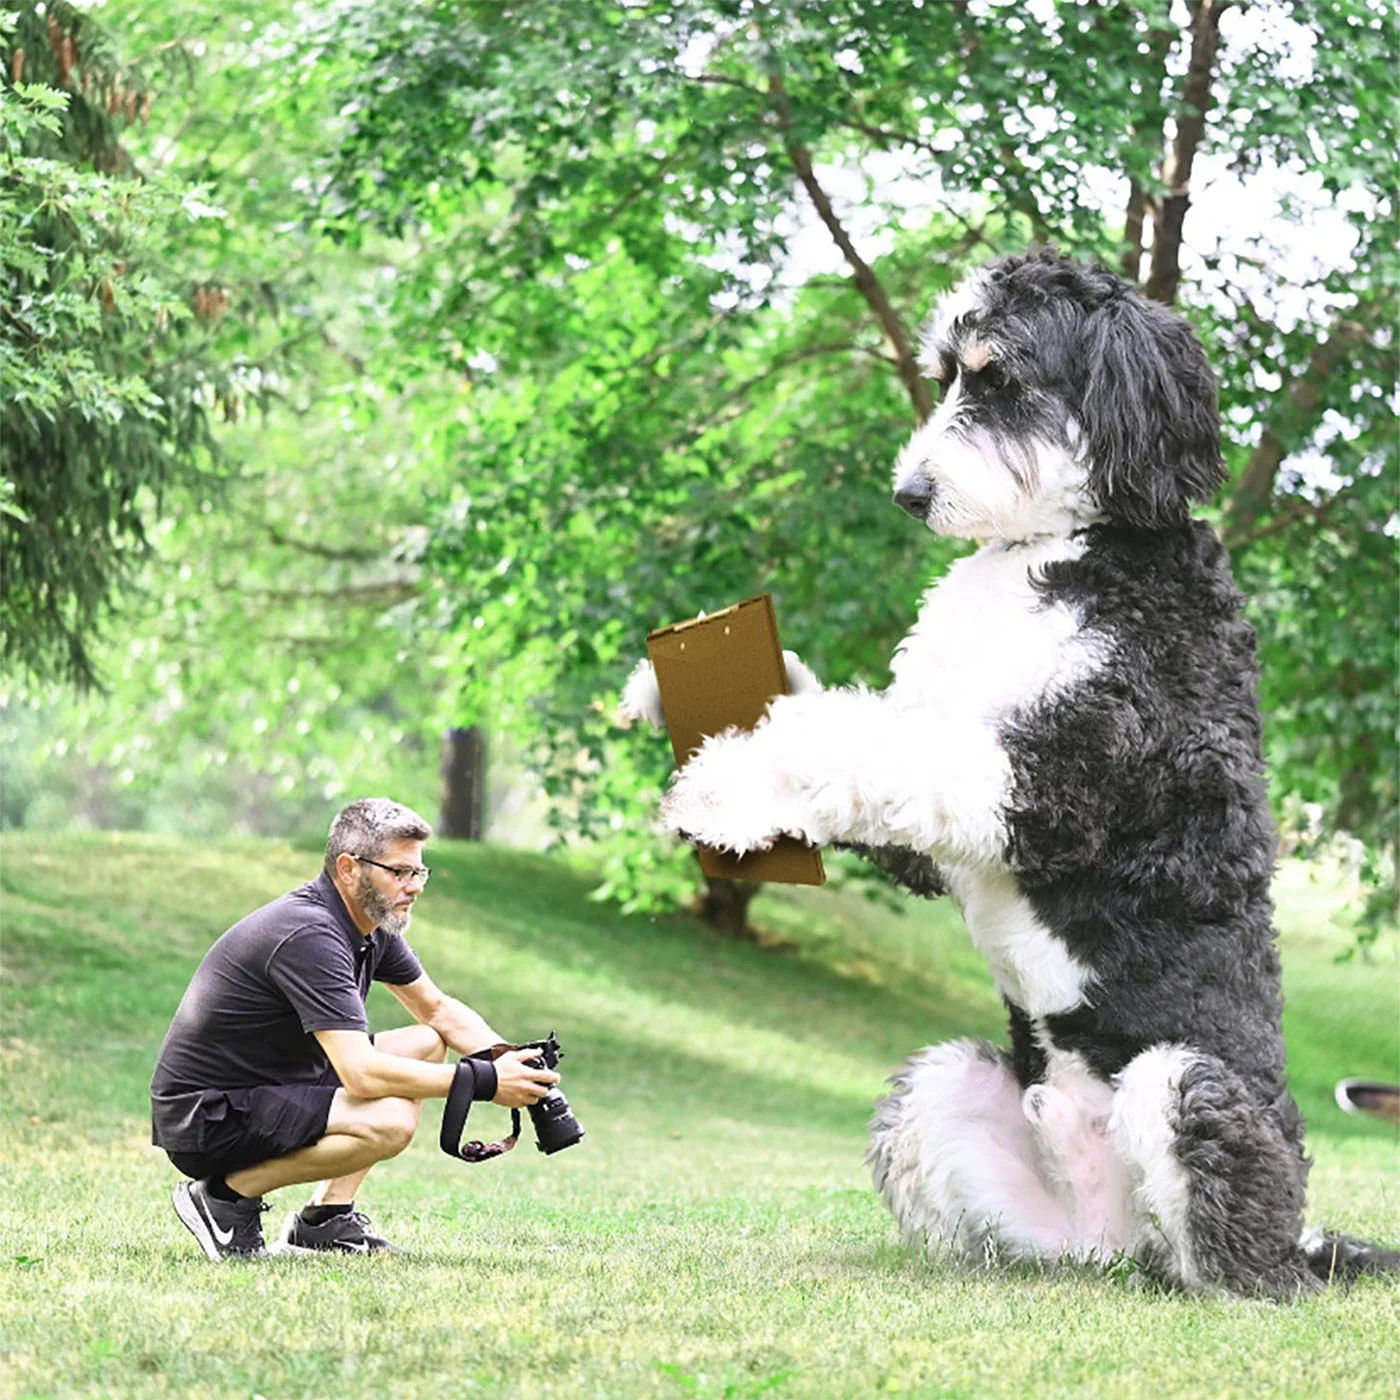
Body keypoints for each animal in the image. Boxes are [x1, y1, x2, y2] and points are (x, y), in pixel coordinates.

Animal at [627, 252, 1400, 1299]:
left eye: (1002, 379)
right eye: (948, 374)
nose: (911, 492)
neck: (1046, 557)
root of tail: (1112, 1241)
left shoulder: (1048, 780)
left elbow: (860, 743)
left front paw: (730, 779)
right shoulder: (940, 829)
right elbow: (862, 733)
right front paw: (681, 690)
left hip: (1186, 1087)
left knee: (1237, 1267)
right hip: (943, 1088)